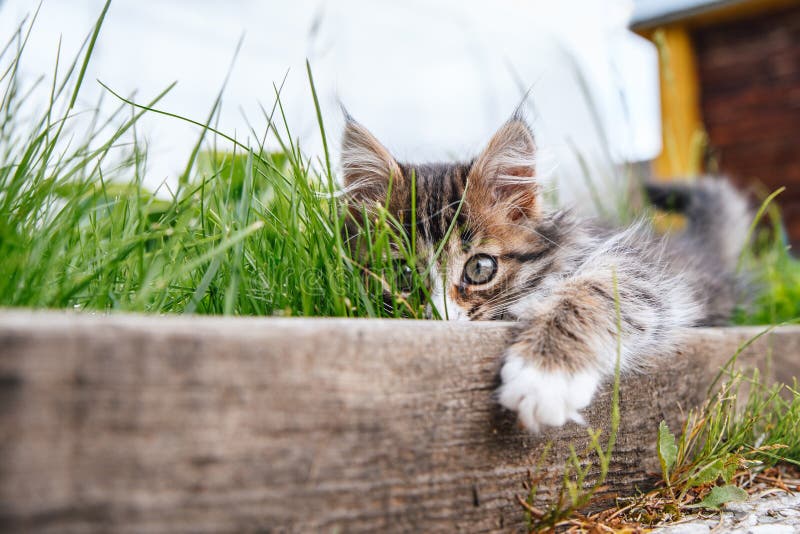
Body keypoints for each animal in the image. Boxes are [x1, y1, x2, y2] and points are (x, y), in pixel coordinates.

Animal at [340, 115, 752, 434]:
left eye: (480, 268)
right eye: (402, 274)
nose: (441, 320)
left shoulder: (639, 272)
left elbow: (591, 293)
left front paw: (544, 374)